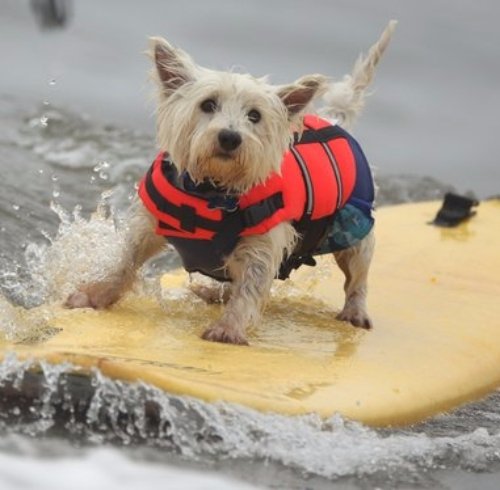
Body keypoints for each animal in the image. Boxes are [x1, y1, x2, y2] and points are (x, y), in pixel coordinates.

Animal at [66, 21, 396, 344]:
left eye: (255, 115)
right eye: (208, 104)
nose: (229, 137)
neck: (212, 189)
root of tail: (334, 119)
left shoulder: (262, 244)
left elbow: (250, 287)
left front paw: (229, 328)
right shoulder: (149, 224)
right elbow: (126, 260)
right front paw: (94, 295)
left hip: (356, 229)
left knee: (357, 276)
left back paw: (355, 311)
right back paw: (212, 290)